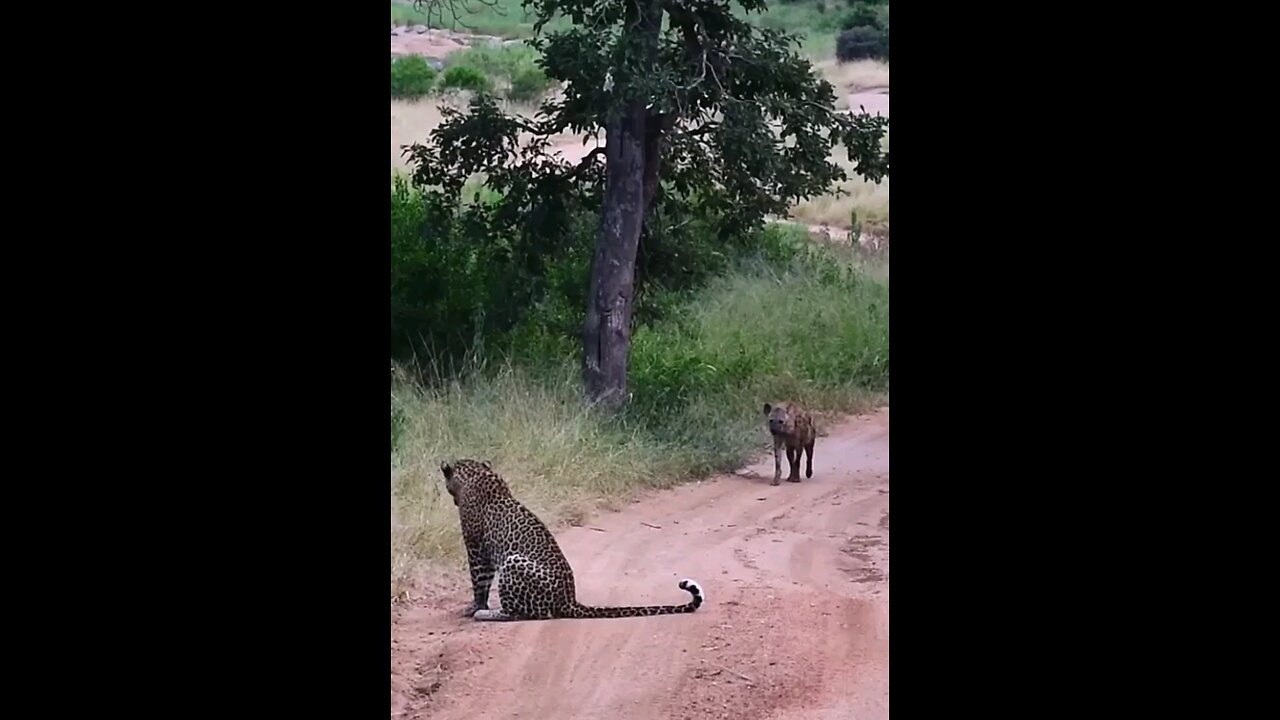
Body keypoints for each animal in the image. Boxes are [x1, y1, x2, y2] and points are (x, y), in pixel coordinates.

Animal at [437, 458, 701, 617]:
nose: (452, 499)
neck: (477, 473)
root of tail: (570, 601)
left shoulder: (475, 547)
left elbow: (479, 580)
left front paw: (475, 607)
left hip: (513, 562)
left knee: (521, 613)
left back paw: (488, 614)